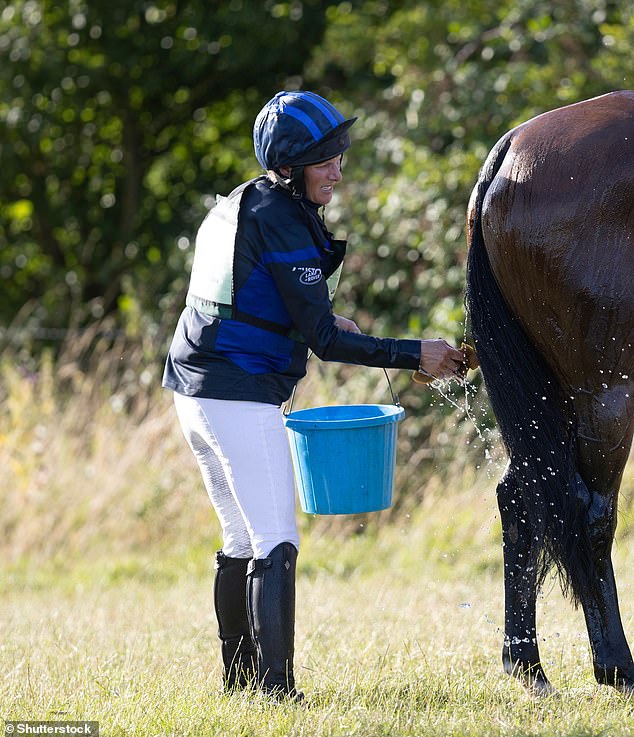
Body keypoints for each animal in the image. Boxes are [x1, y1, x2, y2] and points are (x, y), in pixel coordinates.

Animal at [464, 89, 632, 692]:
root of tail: (510, 151)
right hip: (607, 394)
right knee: (592, 516)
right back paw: (616, 664)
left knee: (521, 496)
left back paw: (526, 664)